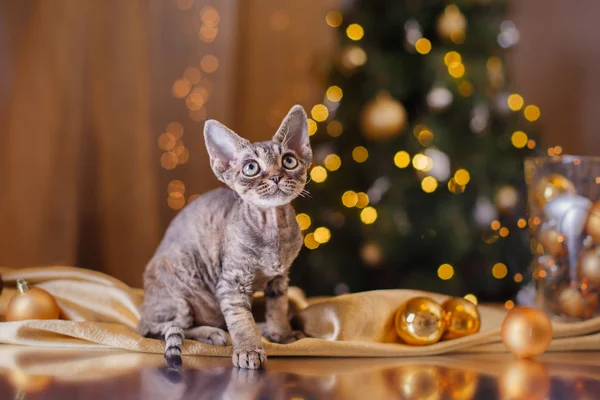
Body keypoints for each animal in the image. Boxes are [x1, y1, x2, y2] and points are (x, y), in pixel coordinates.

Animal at [138, 105, 312, 368]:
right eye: (251, 168)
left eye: (289, 161)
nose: (276, 176)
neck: (274, 229)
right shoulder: (231, 284)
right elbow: (241, 320)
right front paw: (249, 350)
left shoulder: (280, 279)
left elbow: (278, 309)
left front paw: (283, 335)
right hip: (179, 290)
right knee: (161, 328)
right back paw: (213, 333)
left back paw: (263, 328)